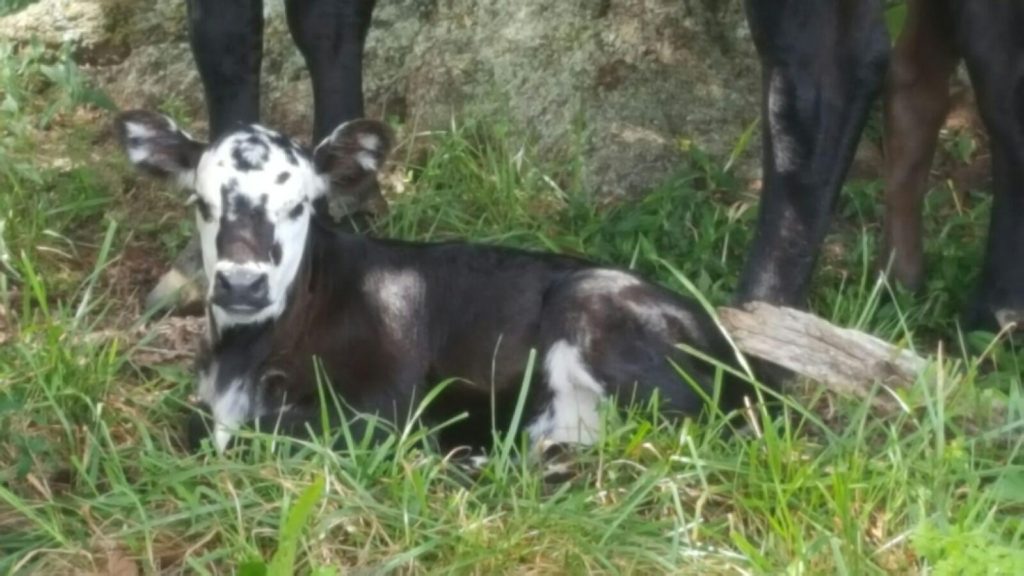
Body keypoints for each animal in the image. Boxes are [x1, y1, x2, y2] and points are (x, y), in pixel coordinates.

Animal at [119, 109, 761, 450]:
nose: (243, 285)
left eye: (300, 205)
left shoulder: (383, 405)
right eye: (202, 203)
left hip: (597, 312)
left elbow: (261, 433)